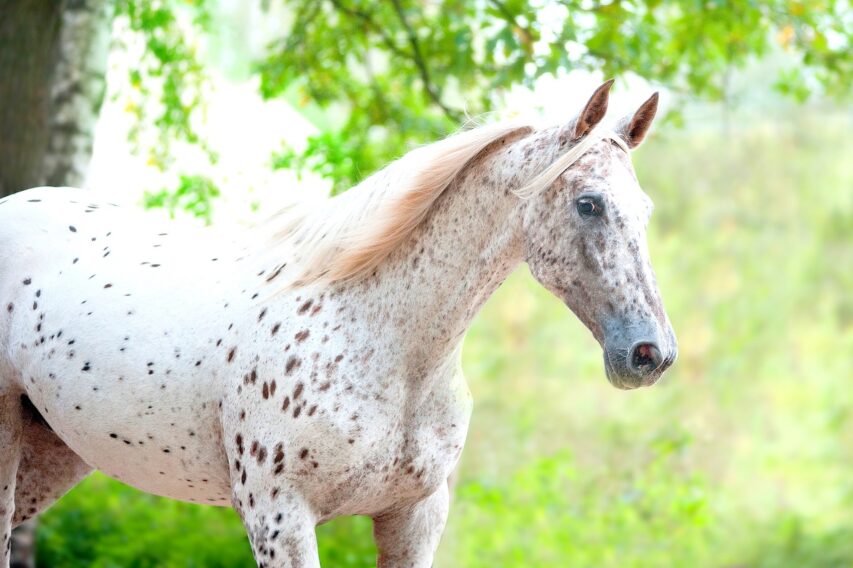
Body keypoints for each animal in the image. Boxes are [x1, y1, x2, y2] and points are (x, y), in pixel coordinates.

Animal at [0, 81, 676, 567]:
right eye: (588, 203)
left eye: (645, 209)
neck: (385, 347)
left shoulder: (415, 518)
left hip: (52, 455)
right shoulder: (279, 517)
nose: (651, 353)